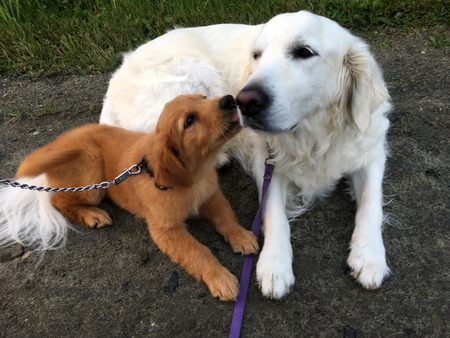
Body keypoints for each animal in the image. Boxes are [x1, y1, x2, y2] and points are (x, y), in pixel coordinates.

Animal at [1, 93, 258, 300]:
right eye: (189, 121)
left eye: (203, 97)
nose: (229, 99)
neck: (194, 175)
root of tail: (54, 147)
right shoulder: (165, 229)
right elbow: (199, 251)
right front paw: (220, 279)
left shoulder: (211, 195)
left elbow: (225, 216)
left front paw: (242, 236)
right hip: (92, 172)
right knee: (58, 201)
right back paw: (92, 215)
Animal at [99, 9, 390, 298]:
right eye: (257, 55)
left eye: (304, 52)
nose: (245, 101)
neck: (313, 138)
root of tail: (113, 84)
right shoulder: (266, 162)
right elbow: (274, 213)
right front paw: (274, 265)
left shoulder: (372, 152)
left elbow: (371, 204)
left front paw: (369, 257)